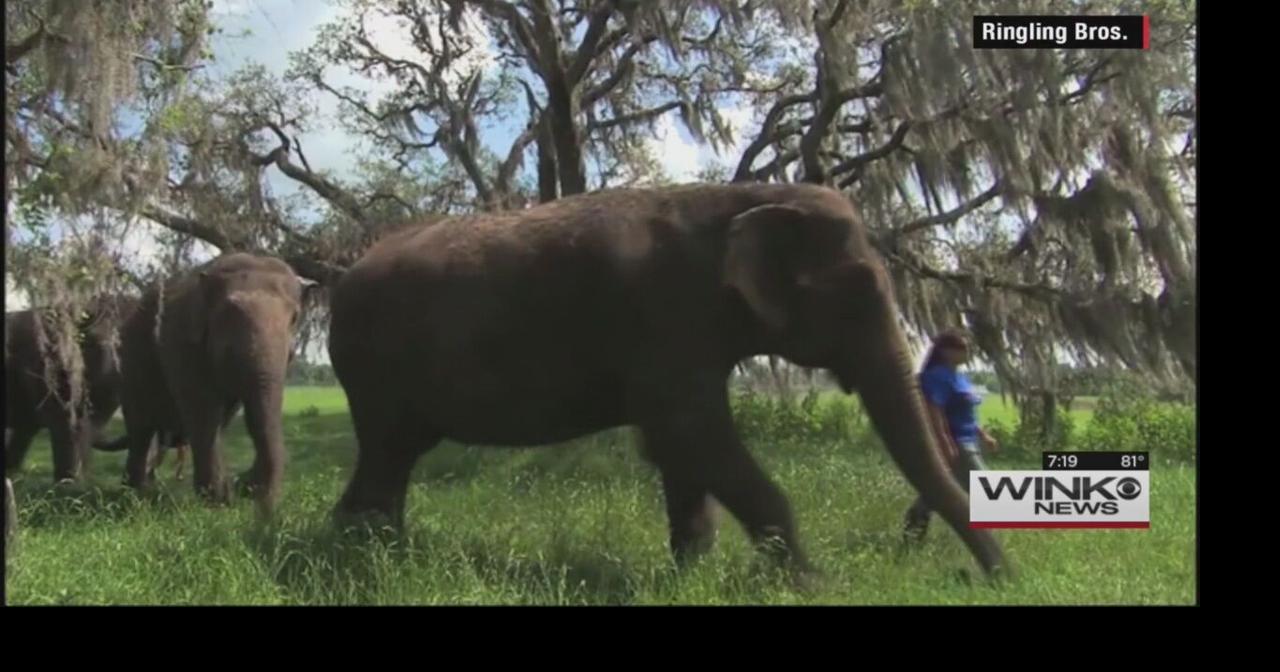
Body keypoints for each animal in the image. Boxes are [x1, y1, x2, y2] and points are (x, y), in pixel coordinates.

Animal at [117, 252, 314, 515]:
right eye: (229, 313)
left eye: (294, 317)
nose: (246, 487)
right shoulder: (182, 343)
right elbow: (203, 411)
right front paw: (217, 505)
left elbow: (246, 415)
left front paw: (235, 492)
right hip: (128, 364)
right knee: (140, 429)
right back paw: (136, 496)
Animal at [327, 181, 1008, 579]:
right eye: (860, 288)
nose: (999, 579)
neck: (743, 197)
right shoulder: (663, 314)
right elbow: (690, 433)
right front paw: (812, 586)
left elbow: (682, 448)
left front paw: (690, 578)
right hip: (373, 362)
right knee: (388, 451)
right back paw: (372, 559)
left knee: (392, 455)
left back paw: (370, 550)